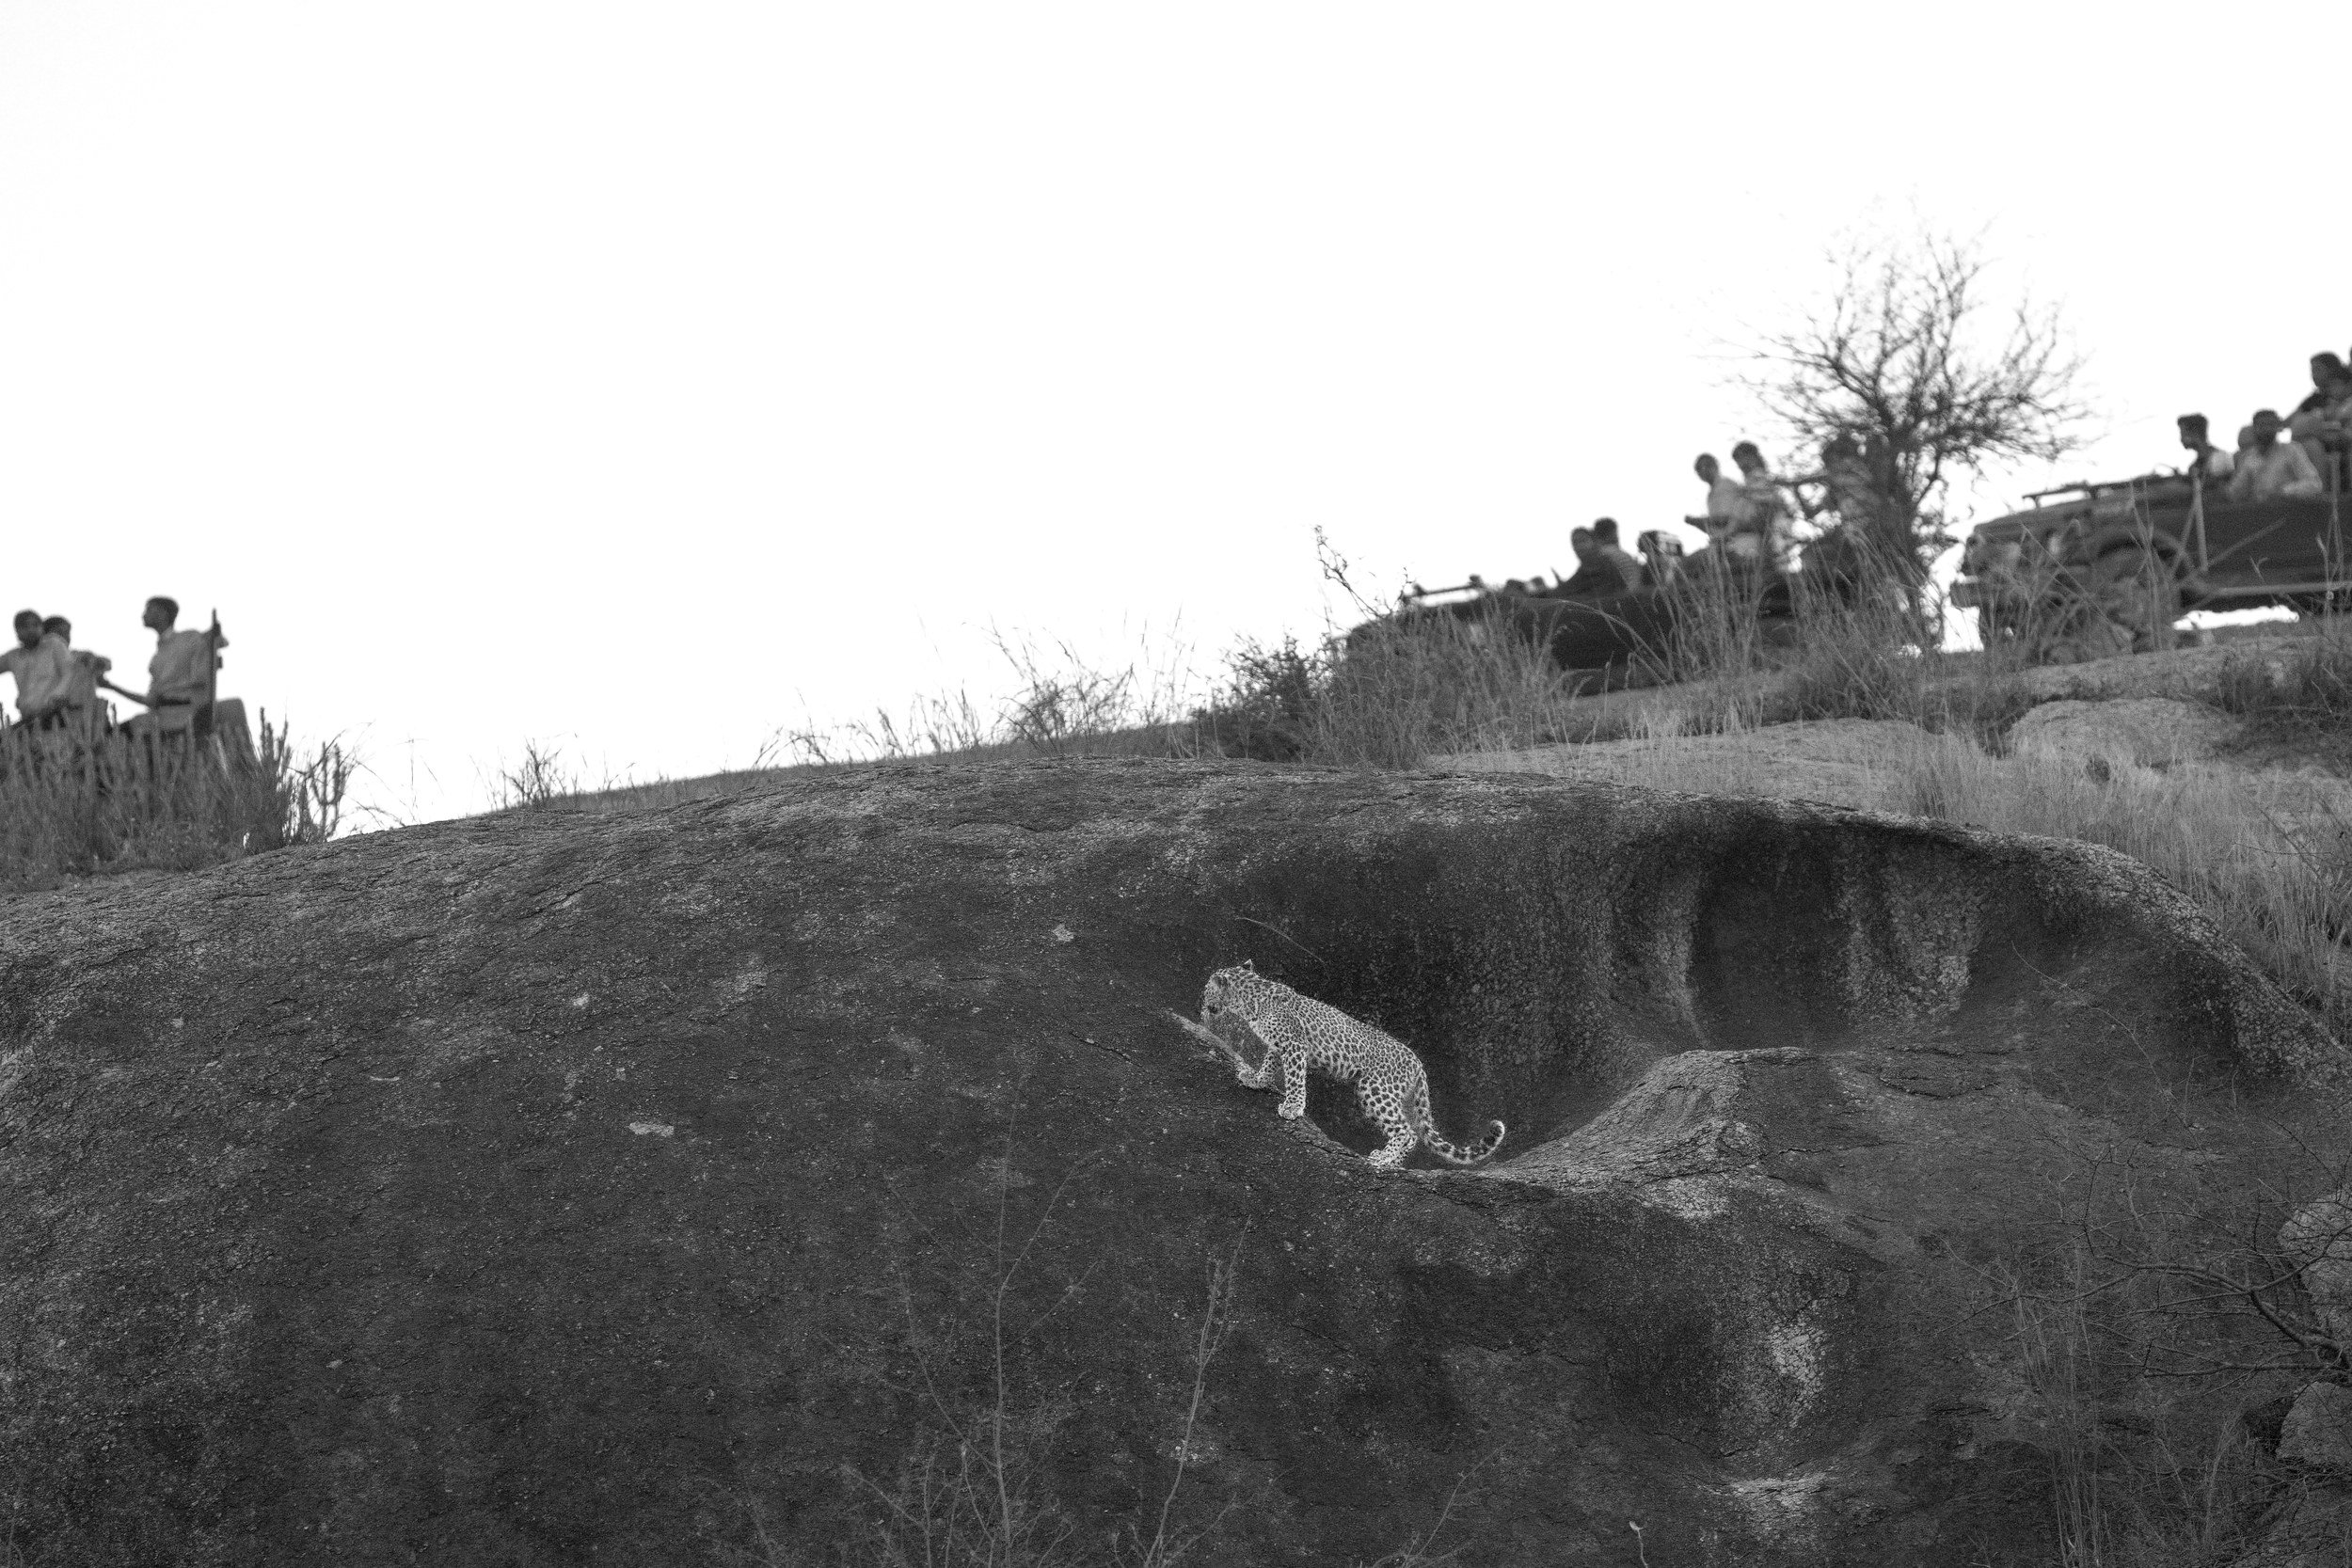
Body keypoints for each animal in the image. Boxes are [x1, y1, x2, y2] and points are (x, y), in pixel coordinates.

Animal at [1172, 963, 1505, 1171]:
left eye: (1207, 987)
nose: (1202, 998)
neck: (1250, 999)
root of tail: (1418, 1062)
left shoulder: (1295, 1046)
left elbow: (1295, 1079)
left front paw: (1292, 1107)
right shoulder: (1278, 1045)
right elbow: (1268, 1063)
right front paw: (1256, 1079)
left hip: (1375, 1088)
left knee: (1407, 1132)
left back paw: (1383, 1160)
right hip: (1403, 1099)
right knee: (1411, 1130)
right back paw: (1391, 1161)